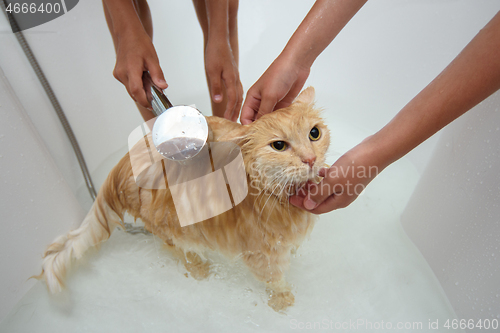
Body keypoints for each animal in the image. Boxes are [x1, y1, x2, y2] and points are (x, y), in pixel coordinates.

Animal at [37, 86, 330, 312]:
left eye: (314, 134)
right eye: (279, 146)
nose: (310, 159)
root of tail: (119, 168)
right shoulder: (260, 252)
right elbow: (274, 279)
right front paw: (283, 300)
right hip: (172, 227)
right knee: (177, 249)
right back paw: (201, 268)